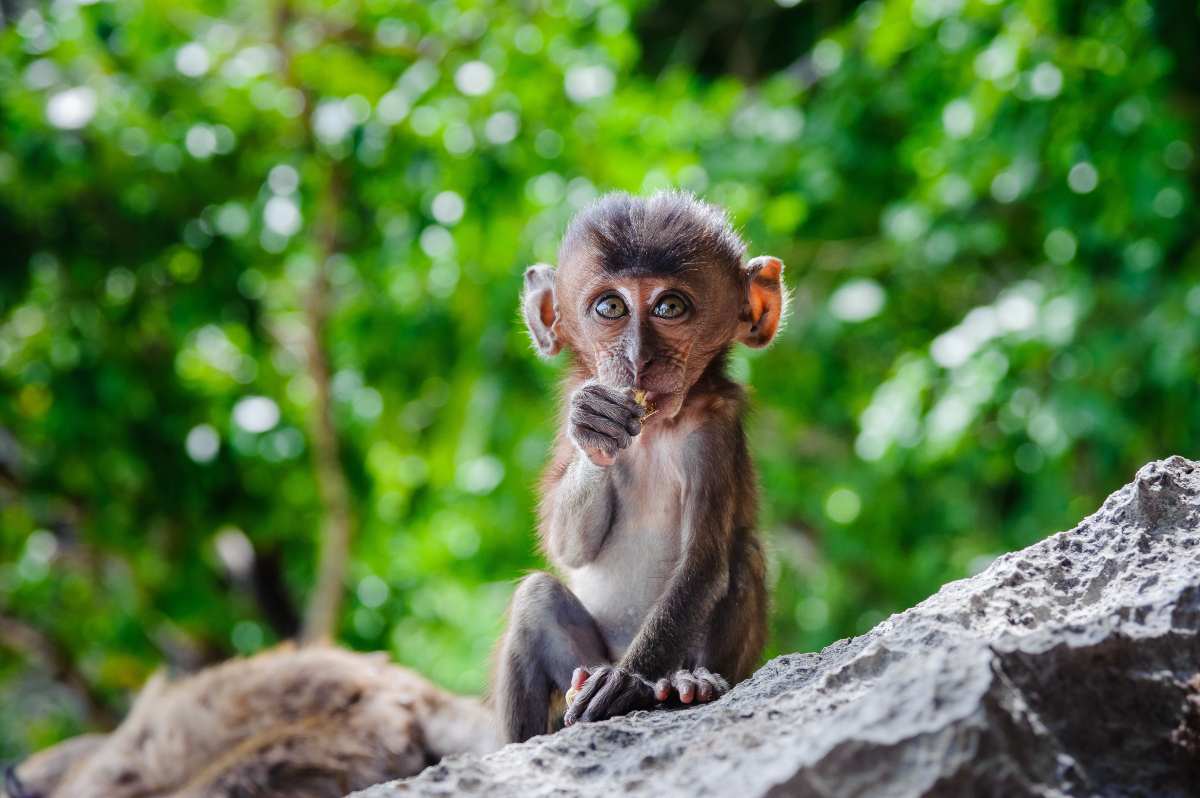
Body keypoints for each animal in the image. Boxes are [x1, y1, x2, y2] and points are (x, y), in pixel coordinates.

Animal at [492, 188, 782, 739]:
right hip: (579, 667)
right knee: (537, 595)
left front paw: (625, 683)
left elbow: (704, 563)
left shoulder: (713, 432)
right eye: (611, 307)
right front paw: (596, 425)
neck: (655, 428)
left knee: (742, 554)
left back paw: (690, 682)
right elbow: (568, 548)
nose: (637, 358)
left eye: (670, 307)